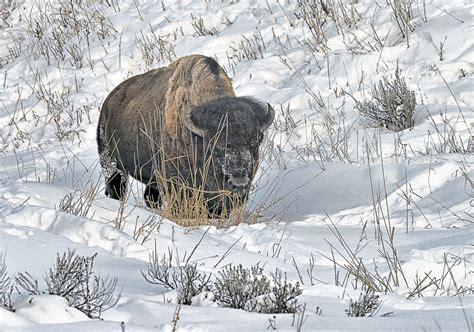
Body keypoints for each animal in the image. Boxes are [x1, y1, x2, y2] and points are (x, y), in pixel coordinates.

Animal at [96, 54, 274, 217]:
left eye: (255, 143)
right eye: (214, 146)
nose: (239, 183)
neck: (196, 137)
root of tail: (108, 103)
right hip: (111, 162)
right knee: (116, 187)